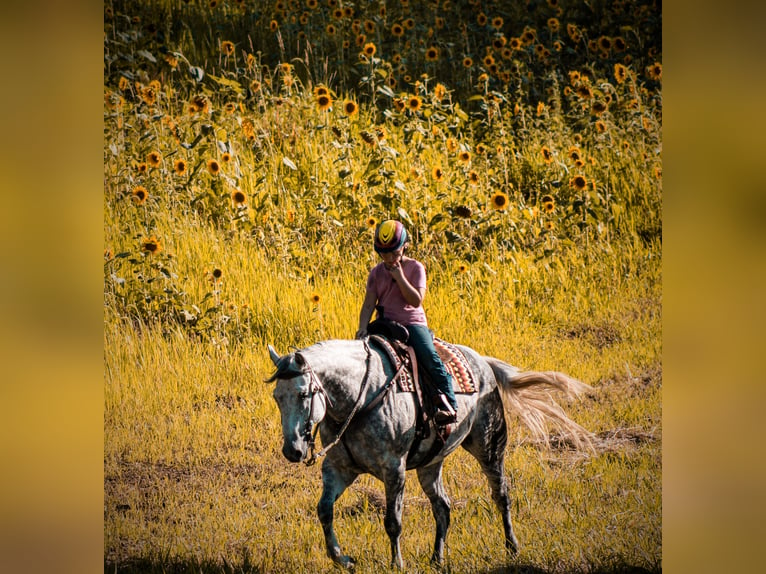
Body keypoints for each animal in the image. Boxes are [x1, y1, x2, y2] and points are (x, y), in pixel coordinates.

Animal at [268, 340, 596, 568]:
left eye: (302, 393)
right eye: (276, 397)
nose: (292, 450)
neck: (360, 399)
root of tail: (484, 363)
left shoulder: (394, 470)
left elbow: (393, 521)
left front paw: (396, 563)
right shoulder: (339, 469)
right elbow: (324, 510)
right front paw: (343, 559)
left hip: (490, 446)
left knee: (501, 495)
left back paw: (512, 547)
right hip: (431, 464)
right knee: (443, 506)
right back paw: (437, 558)